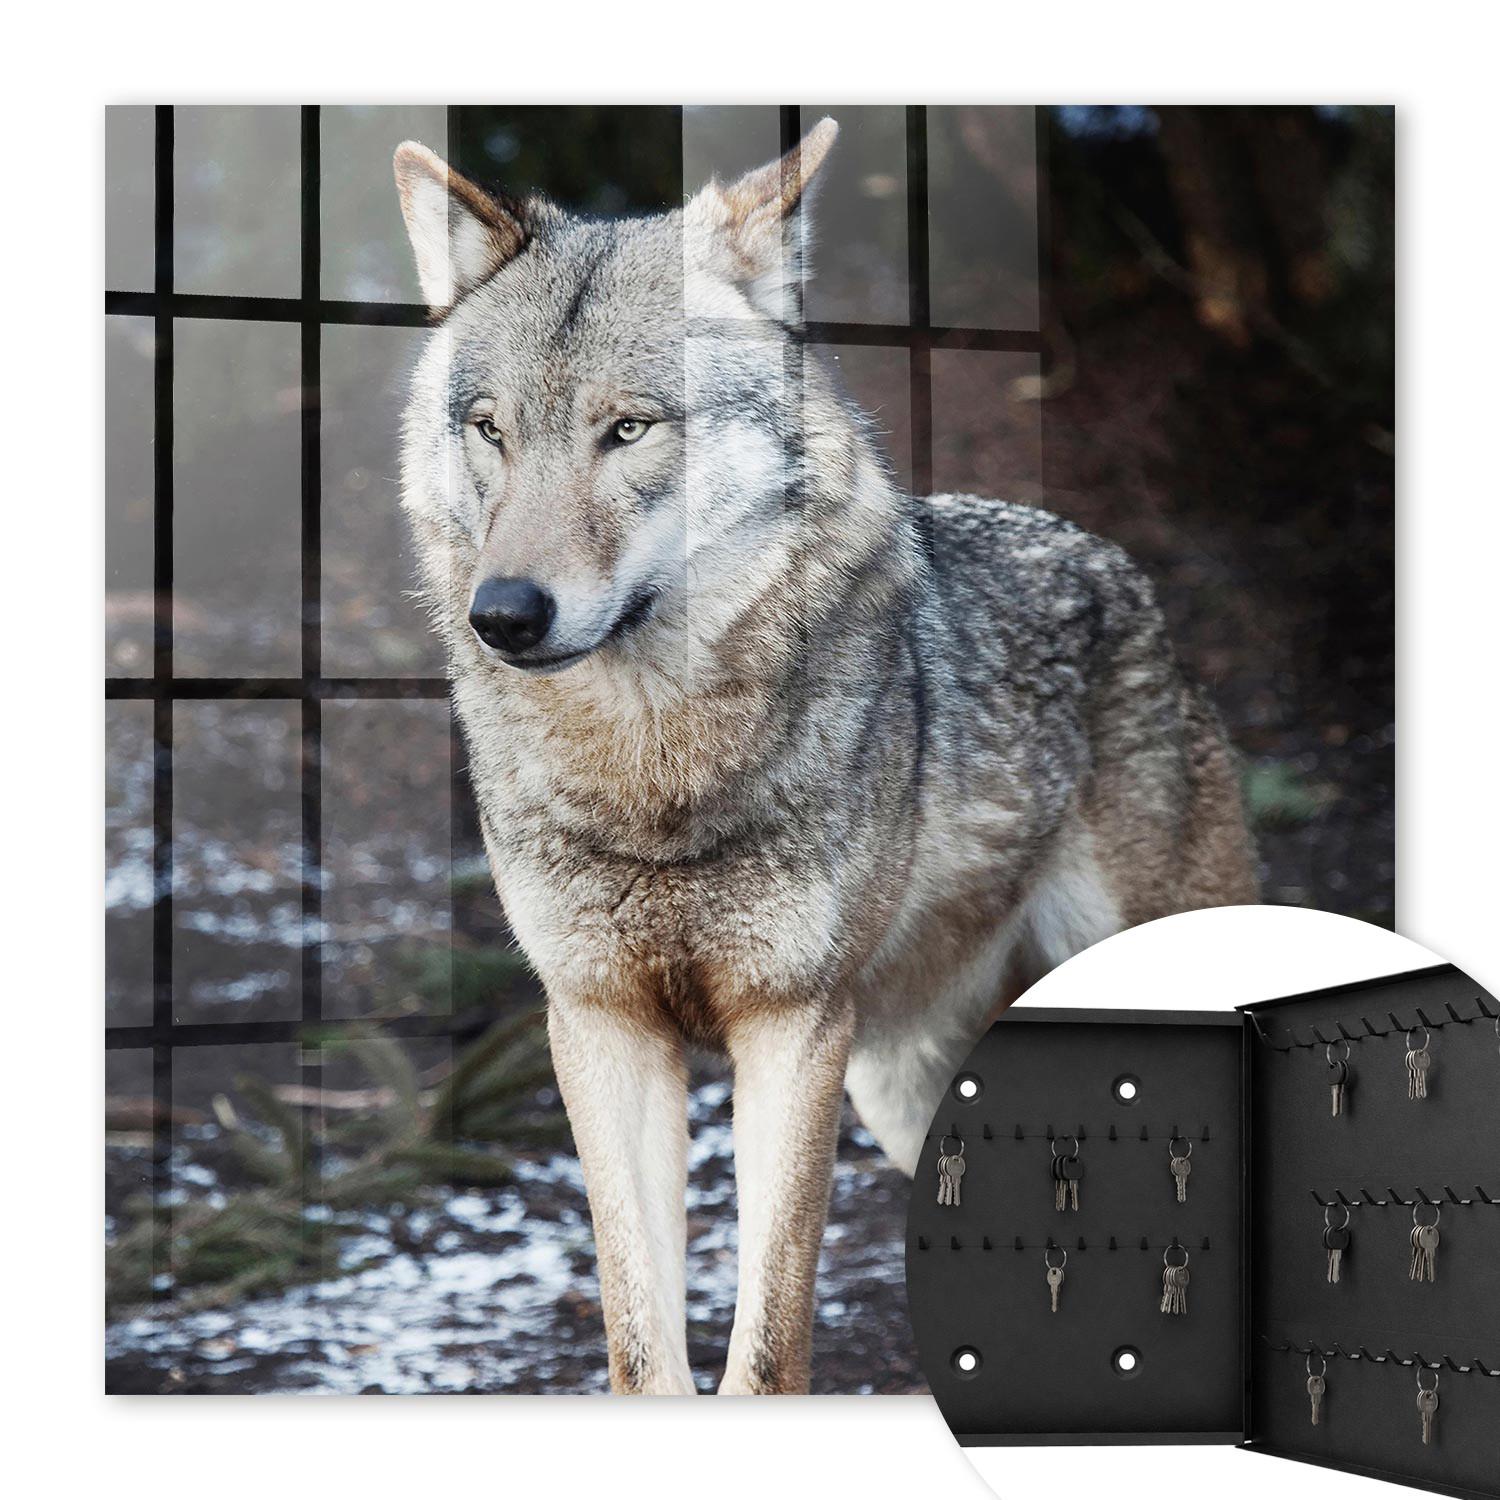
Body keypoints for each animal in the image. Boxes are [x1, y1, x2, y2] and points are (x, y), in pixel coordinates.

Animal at [392, 118, 1257, 1396]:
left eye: (628, 427)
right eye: (491, 430)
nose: (503, 614)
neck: (655, 773)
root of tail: (1119, 569)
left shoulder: (792, 1027)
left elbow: (768, 1348)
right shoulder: (601, 1028)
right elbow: (643, 1350)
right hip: (908, 1091)